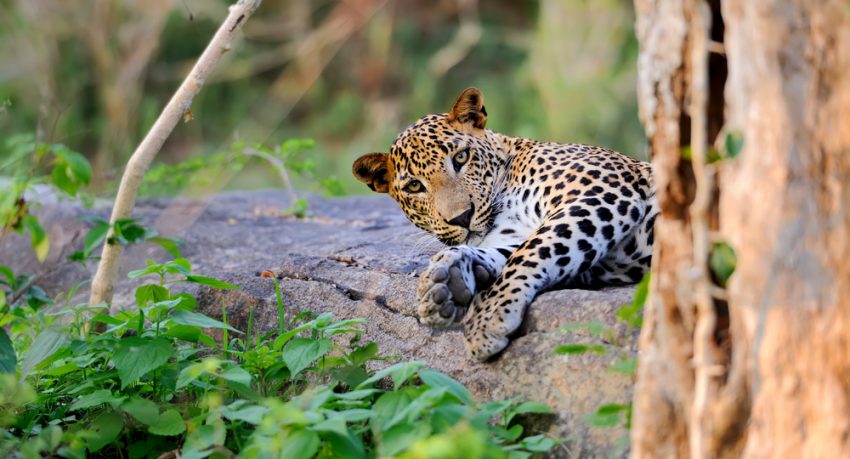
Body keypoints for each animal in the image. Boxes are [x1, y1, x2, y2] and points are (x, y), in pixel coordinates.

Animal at [352, 87, 656, 362]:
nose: (462, 217)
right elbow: (514, 251)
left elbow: (531, 251)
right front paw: (447, 279)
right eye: (414, 186)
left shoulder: (600, 192)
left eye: (461, 157)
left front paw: (487, 318)